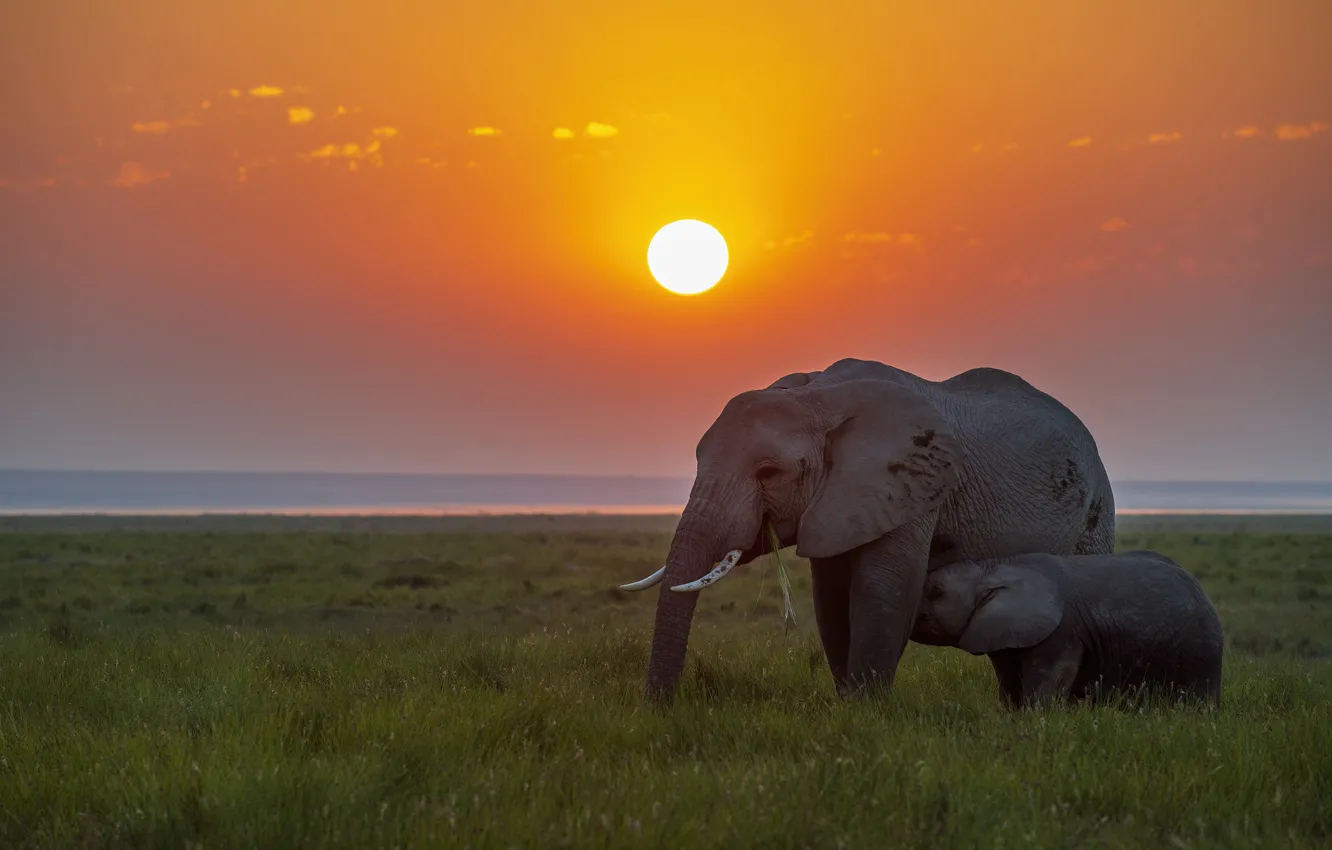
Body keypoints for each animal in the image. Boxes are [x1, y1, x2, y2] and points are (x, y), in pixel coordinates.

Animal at [620, 358, 1116, 703]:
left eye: (768, 472)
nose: (660, 709)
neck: (820, 396)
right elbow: (832, 597)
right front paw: (849, 706)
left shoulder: (911, 486)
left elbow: (881, 589)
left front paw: (866, 711)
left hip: (1096, 506)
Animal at [911, 550, 1224, 707]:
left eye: (936, 591)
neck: (992, 568)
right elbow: (1009, 682)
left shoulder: (1064, 631)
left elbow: (1047, 682)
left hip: (1198, 651)